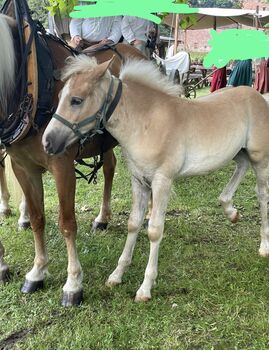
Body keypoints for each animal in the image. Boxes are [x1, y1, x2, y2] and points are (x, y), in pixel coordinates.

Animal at [0, 1, 144, 304]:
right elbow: (38, 218)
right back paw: (102, 219)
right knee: (109, 166)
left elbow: (66, 222)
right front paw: (37, 272)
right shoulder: (22, 166)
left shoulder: (61, 164)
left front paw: (73, 284)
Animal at [42, 56, 269, 300]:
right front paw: (116, 275)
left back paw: (264, 245)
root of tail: (256, 96)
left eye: (76, 100)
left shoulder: (162, 181)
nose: (47, 142)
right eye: (60, 97)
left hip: (260, 157)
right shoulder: (139, 181)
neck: (146, 122)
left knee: (262, 195)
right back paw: (230, 211)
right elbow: (133, 224)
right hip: (239, 152)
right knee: (241, 166)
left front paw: (145, 288)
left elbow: (154, 230)